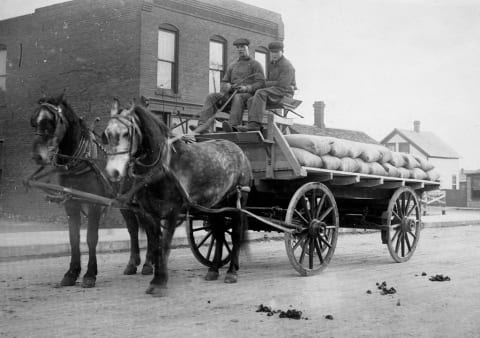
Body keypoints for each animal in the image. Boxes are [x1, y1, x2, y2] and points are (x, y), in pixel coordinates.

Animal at [29, 93, 154, 288]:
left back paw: (149, 264)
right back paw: (133, 263)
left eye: (51, 122)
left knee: (149, 227)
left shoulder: (94, 204)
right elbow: (73, 238)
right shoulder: (71, 203)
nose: (37, 156)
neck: (81, 161)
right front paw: (71, 273)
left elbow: (91, 238)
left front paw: (89, 275)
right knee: (133, 228)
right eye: (34, 122)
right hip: (124, 203)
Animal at [103, 100, 253, 296]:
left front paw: (160, 282)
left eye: (126, 133)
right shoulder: (149, 212)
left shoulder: (172, 211)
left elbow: (165, 244)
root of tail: (238, 150)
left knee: (235, 234)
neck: (163, 166)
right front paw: (155, 278)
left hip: (237, 200)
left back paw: (232, 271)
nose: (113, 172)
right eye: (106, 133)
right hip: (216, 204)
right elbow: (155, 243)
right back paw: (213, 269)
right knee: (219, 233)